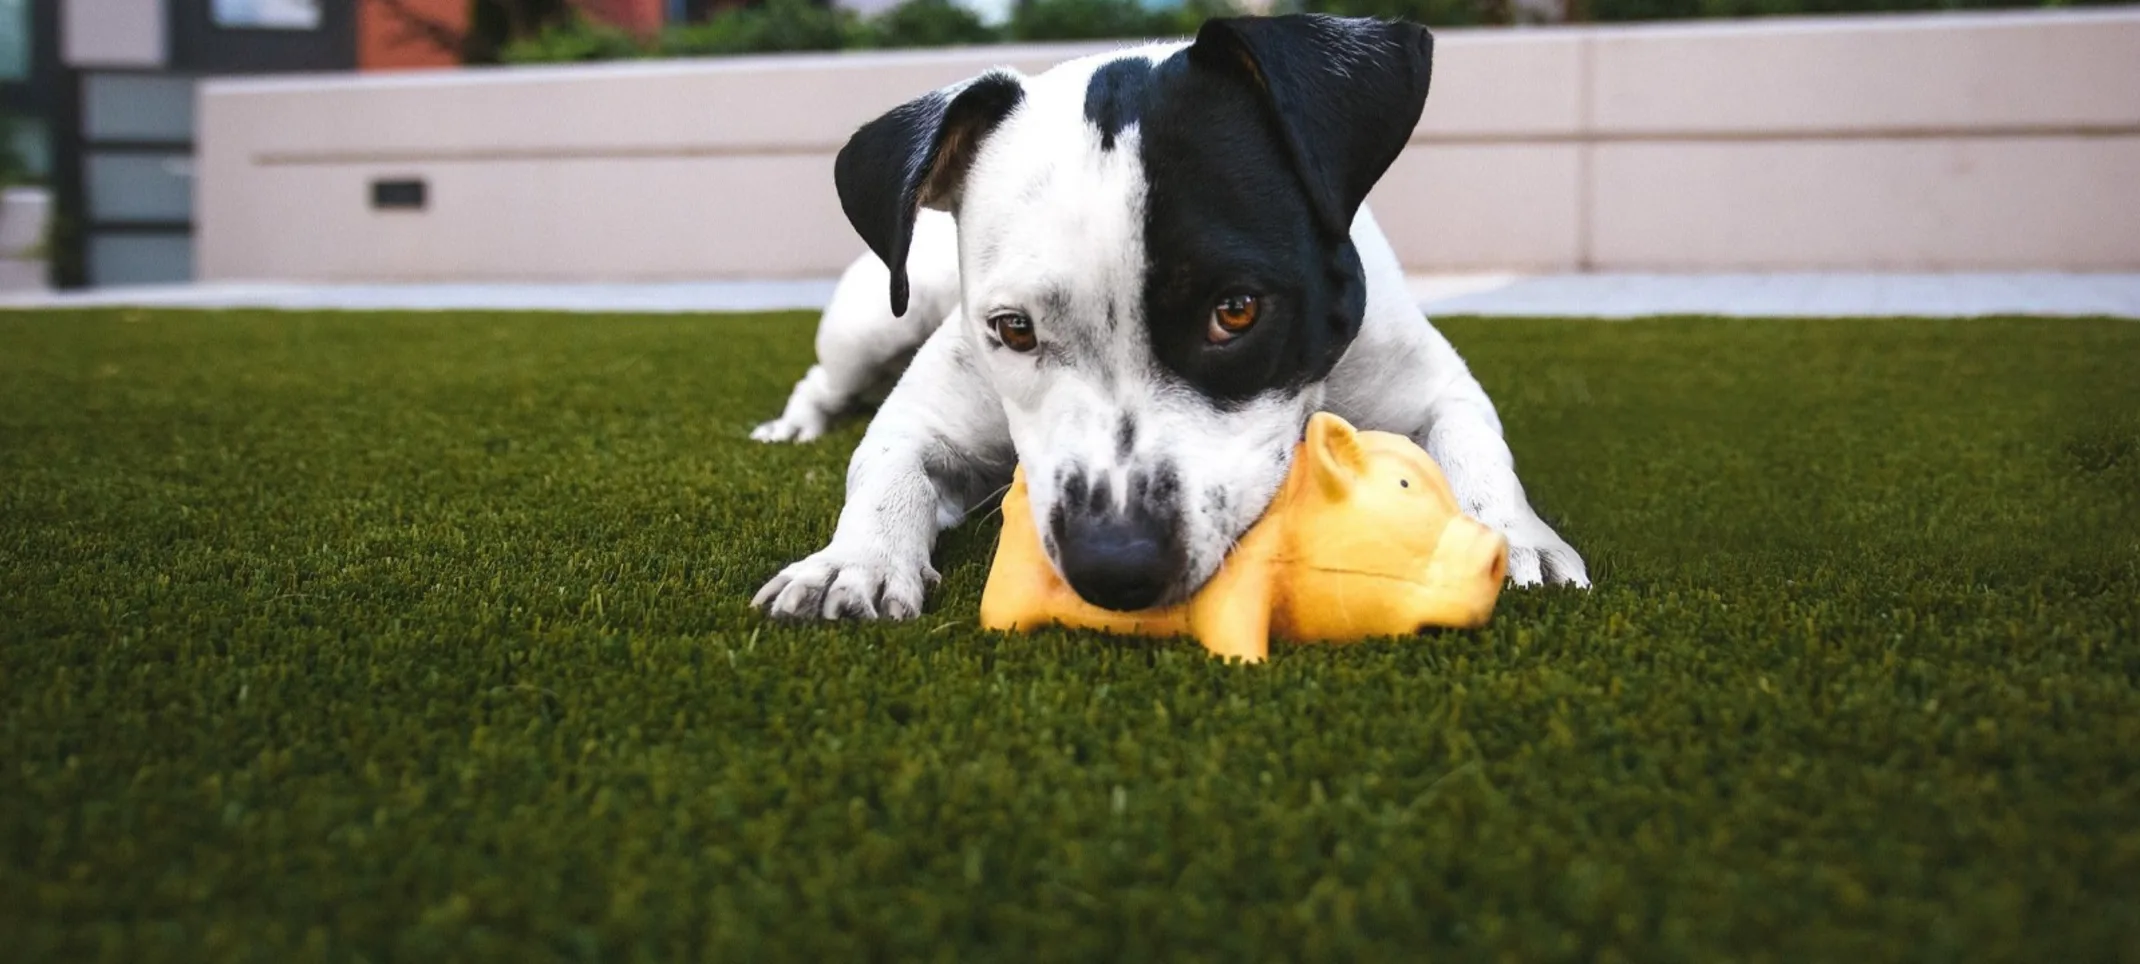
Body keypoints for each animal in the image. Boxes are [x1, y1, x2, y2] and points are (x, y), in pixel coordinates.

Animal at [753, 15, 1592, 621]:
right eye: (1014, 329)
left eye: (1237, 311)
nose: (1114, 564)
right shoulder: (925, 417)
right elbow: (888, 469)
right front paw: (852, 561)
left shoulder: (1434, 386)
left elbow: (1476, 449)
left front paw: (1514, 535)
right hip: (873, 321)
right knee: (822, 379)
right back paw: (793, 427)